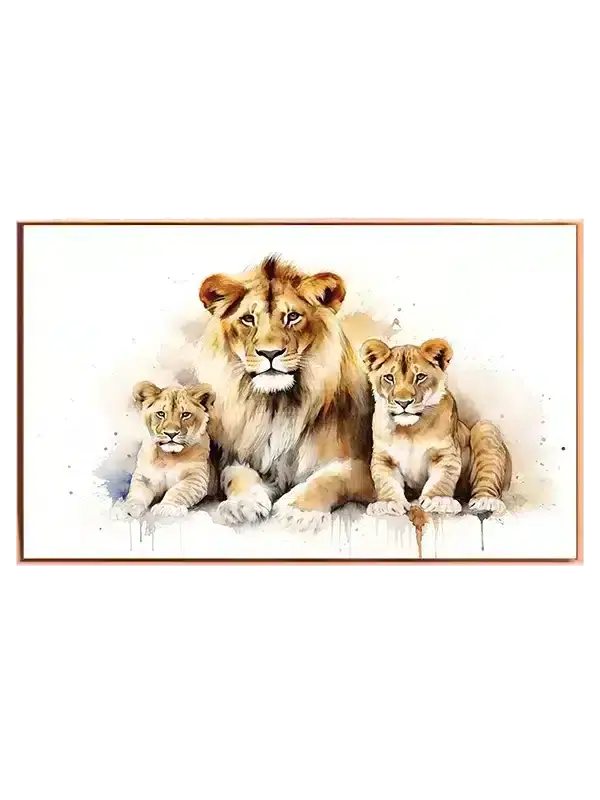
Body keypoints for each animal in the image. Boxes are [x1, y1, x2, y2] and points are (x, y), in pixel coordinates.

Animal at [119, 382, 218, 519]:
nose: (171, 434)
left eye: (185, 414)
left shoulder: (197, 478)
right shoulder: (145, 476)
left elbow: (177, 491)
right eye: (161, 414)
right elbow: (137, 492)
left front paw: (166, 507)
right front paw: (128, 509)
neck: (168, 456)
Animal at [197, 254, 374, 531]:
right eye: (248, 319)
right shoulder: (237, 457)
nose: (270, 353)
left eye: (292, 316)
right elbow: (236, 475)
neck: (276, 405)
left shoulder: (365, 467)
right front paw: (242, 504)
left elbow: (333, 476)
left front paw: (298, 509)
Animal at [360, 337, 511, 517]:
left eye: (420, 377)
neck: (409, 430)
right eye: (389, 377)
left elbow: (442, 478)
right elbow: (385, 481)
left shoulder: (445, 453)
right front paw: (387, 503)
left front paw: (439, 500)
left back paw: (486, 500)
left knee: (488, 476)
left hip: (485, 428)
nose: (403, 403)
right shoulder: (384, 458)